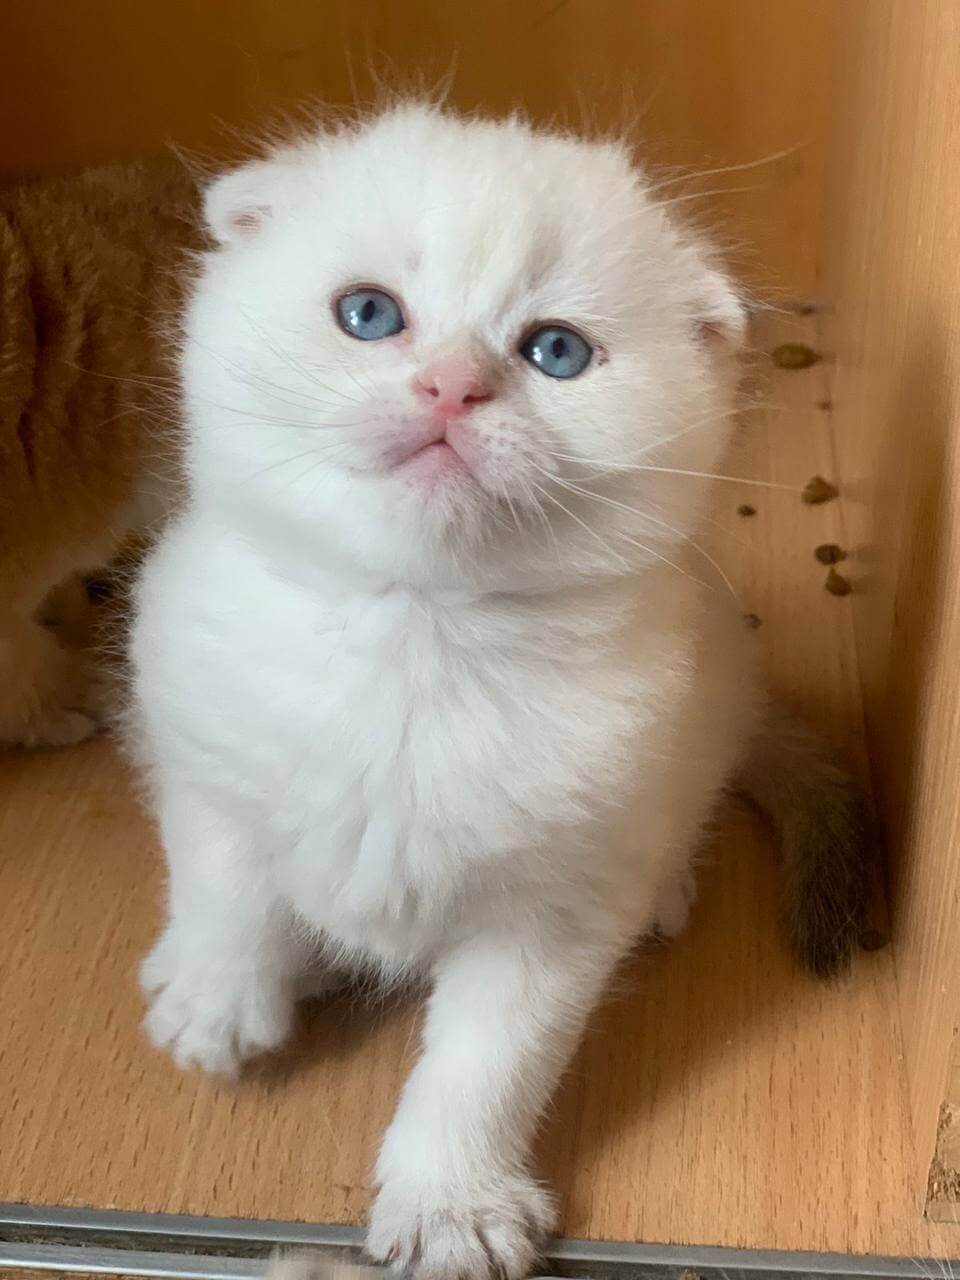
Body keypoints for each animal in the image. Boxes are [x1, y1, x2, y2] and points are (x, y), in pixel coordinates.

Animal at [129, 105, 868, 1280]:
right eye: (369, 314)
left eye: (555, 351)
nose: (450, 386)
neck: (416, 641)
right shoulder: (203, 740)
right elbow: (221, 874)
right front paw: (217, 997)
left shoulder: (555, 909)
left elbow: (486, 1064)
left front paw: (450, 1204)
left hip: (701, 713)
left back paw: (667, 890)